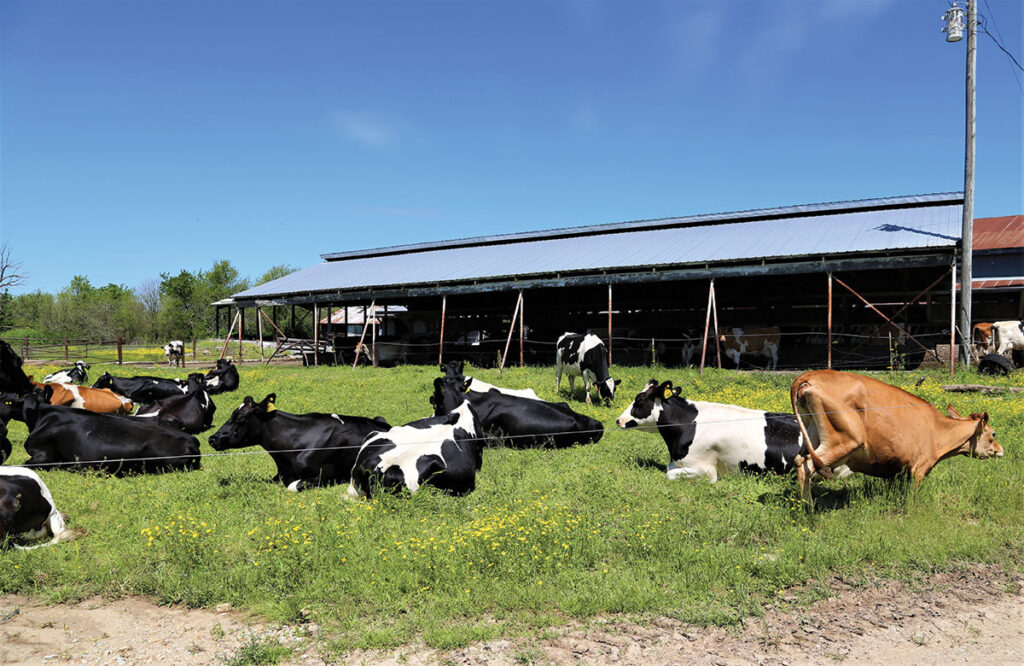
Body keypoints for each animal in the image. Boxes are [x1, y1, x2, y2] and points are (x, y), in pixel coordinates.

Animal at [790, 364, 999, 500]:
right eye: (993, 433)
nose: (1000, 449)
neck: (937, 429)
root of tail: (810, 376)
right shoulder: (919, 468)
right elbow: (912, 498)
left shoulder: (897, 469)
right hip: (842, 441)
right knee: (806, 465)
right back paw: (808, 509)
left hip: (812, 434)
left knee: (799, 460)